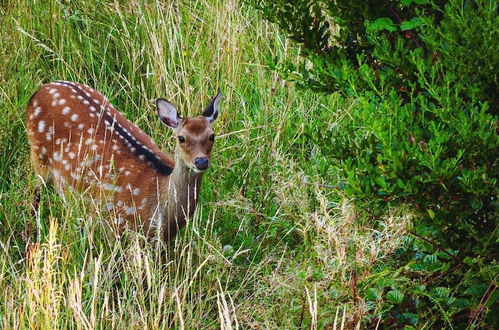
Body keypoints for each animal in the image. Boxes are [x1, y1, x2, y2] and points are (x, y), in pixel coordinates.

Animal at [26, 80, 222, 240]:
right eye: (181, 138)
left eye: (212, 136)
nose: (201, 161)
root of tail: (40, 91)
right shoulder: (116, 223)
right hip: (39, 157)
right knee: (35, 193)